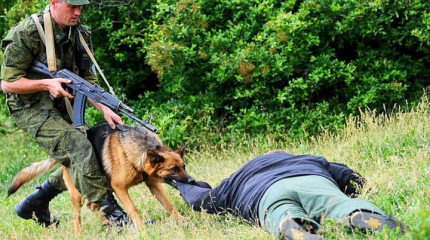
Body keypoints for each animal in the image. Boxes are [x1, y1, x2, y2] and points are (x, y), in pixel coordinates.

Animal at [7, 124, 192, 232]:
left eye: (183, 166)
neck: (138, 152)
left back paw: (110, 225)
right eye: (173, 169)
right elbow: (132, 208)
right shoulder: (119, 187)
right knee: (77, 215)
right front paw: (140, 228)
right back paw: (80, 234)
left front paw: (181, 219)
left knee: (95, 204)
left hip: (97, 185)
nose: (191, 181)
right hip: (78, 194)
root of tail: (63, 155)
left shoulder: (153, 184)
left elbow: (168, 204)